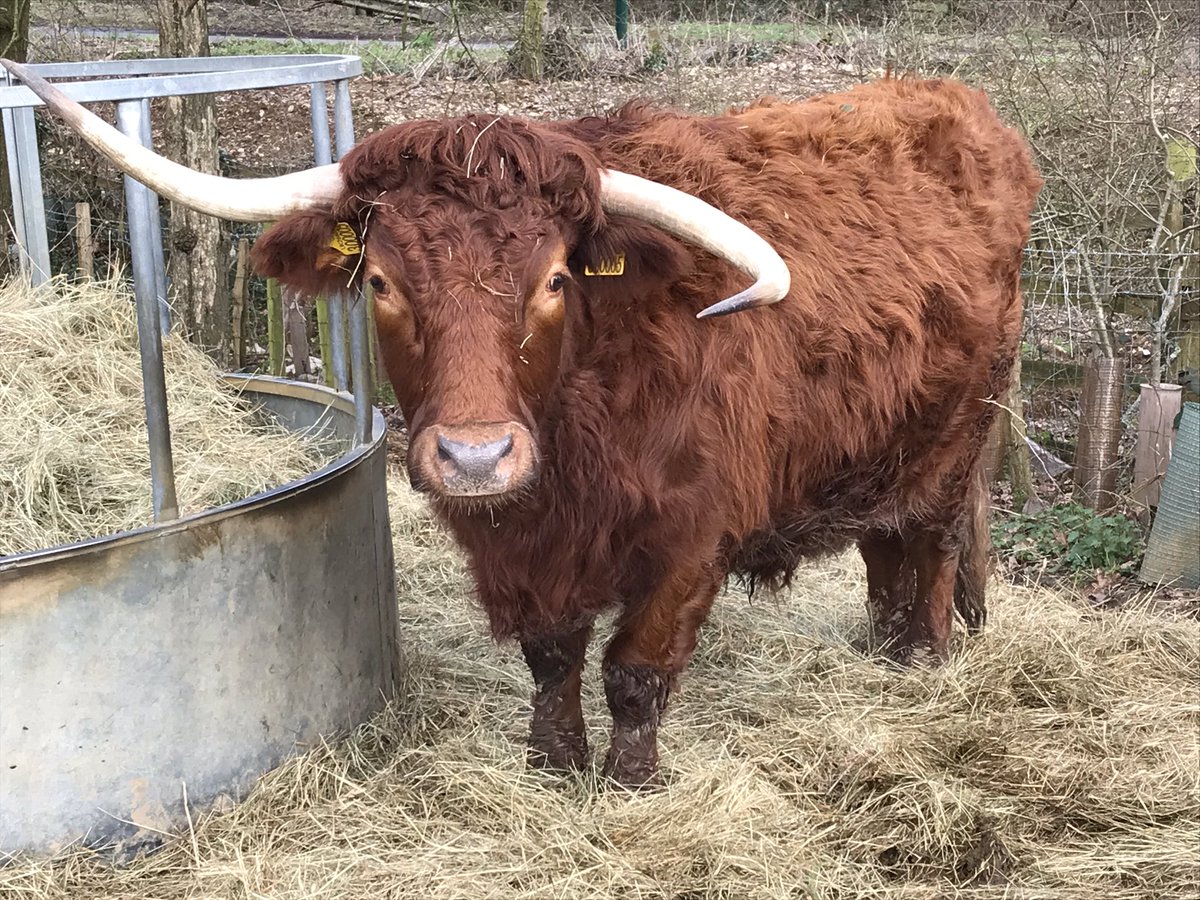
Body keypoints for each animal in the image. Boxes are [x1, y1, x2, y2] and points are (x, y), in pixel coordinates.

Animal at [9, 60, 1041, 788]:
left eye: (552, 280)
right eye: (380, 282)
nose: (476, 457)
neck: (578, 433)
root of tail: (967, 114)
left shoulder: (692, 538)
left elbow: (634, 668)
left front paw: (628, 781)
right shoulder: (515, 545)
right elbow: (551, 657)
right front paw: (552, 762)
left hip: (960, 439)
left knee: (934, 544)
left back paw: (923, 660)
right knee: (884, 548)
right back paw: (882, 645)